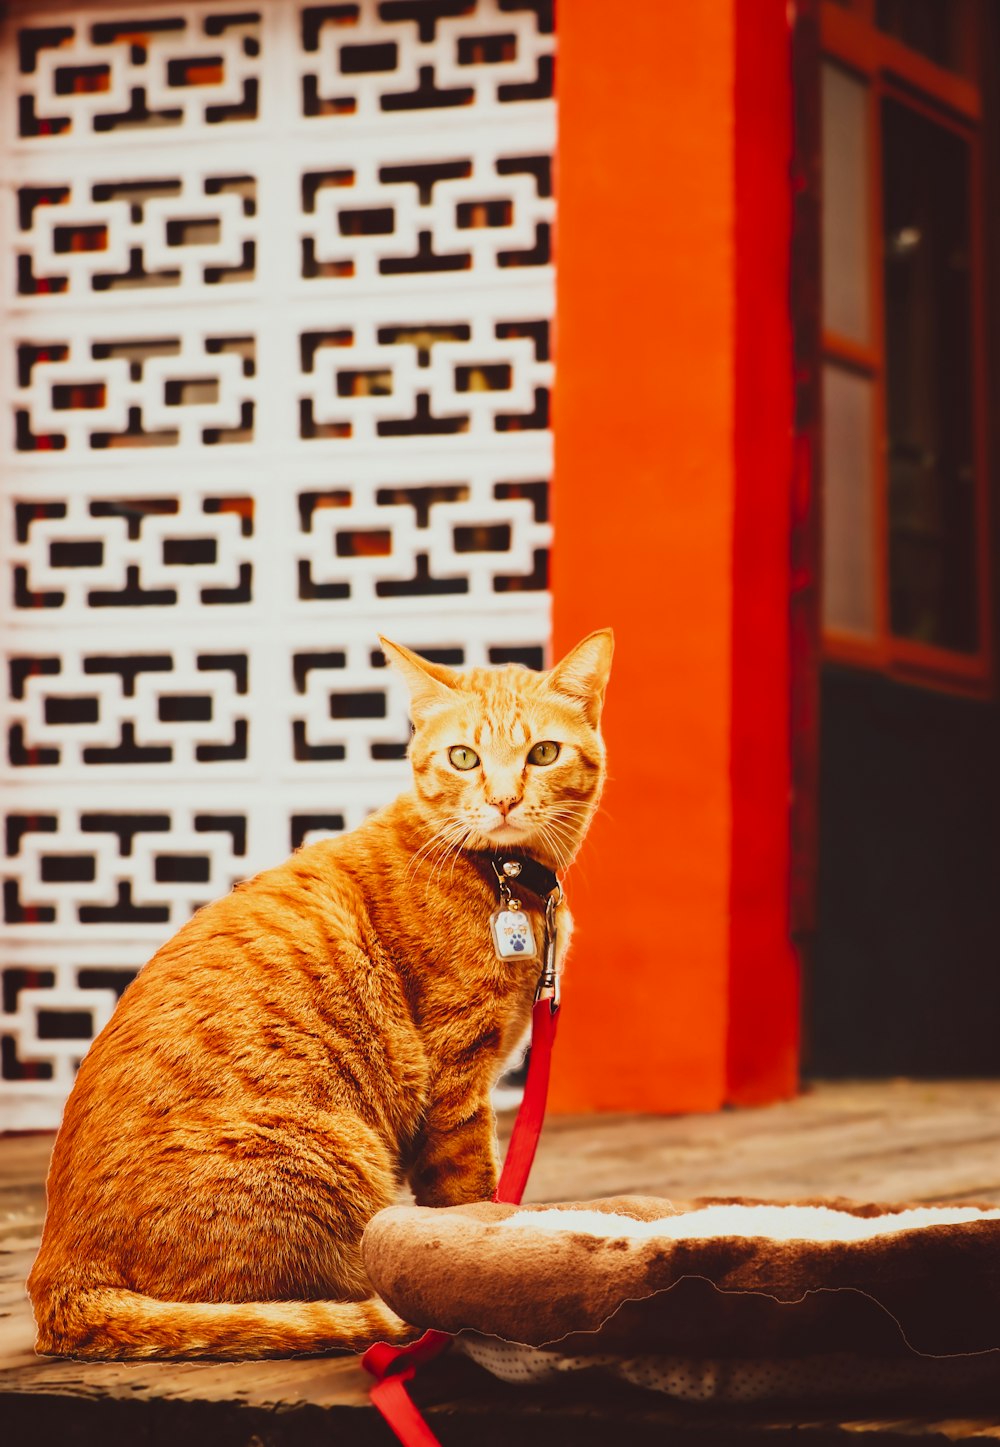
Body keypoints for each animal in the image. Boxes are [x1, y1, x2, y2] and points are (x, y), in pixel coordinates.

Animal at [27, 627, 613, 1360]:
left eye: (542, 753)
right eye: (463, 757)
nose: (505, 800)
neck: (505, 877)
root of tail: (56, 1275)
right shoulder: (455, 1082)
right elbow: (472, 1200)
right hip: (333, 1154)